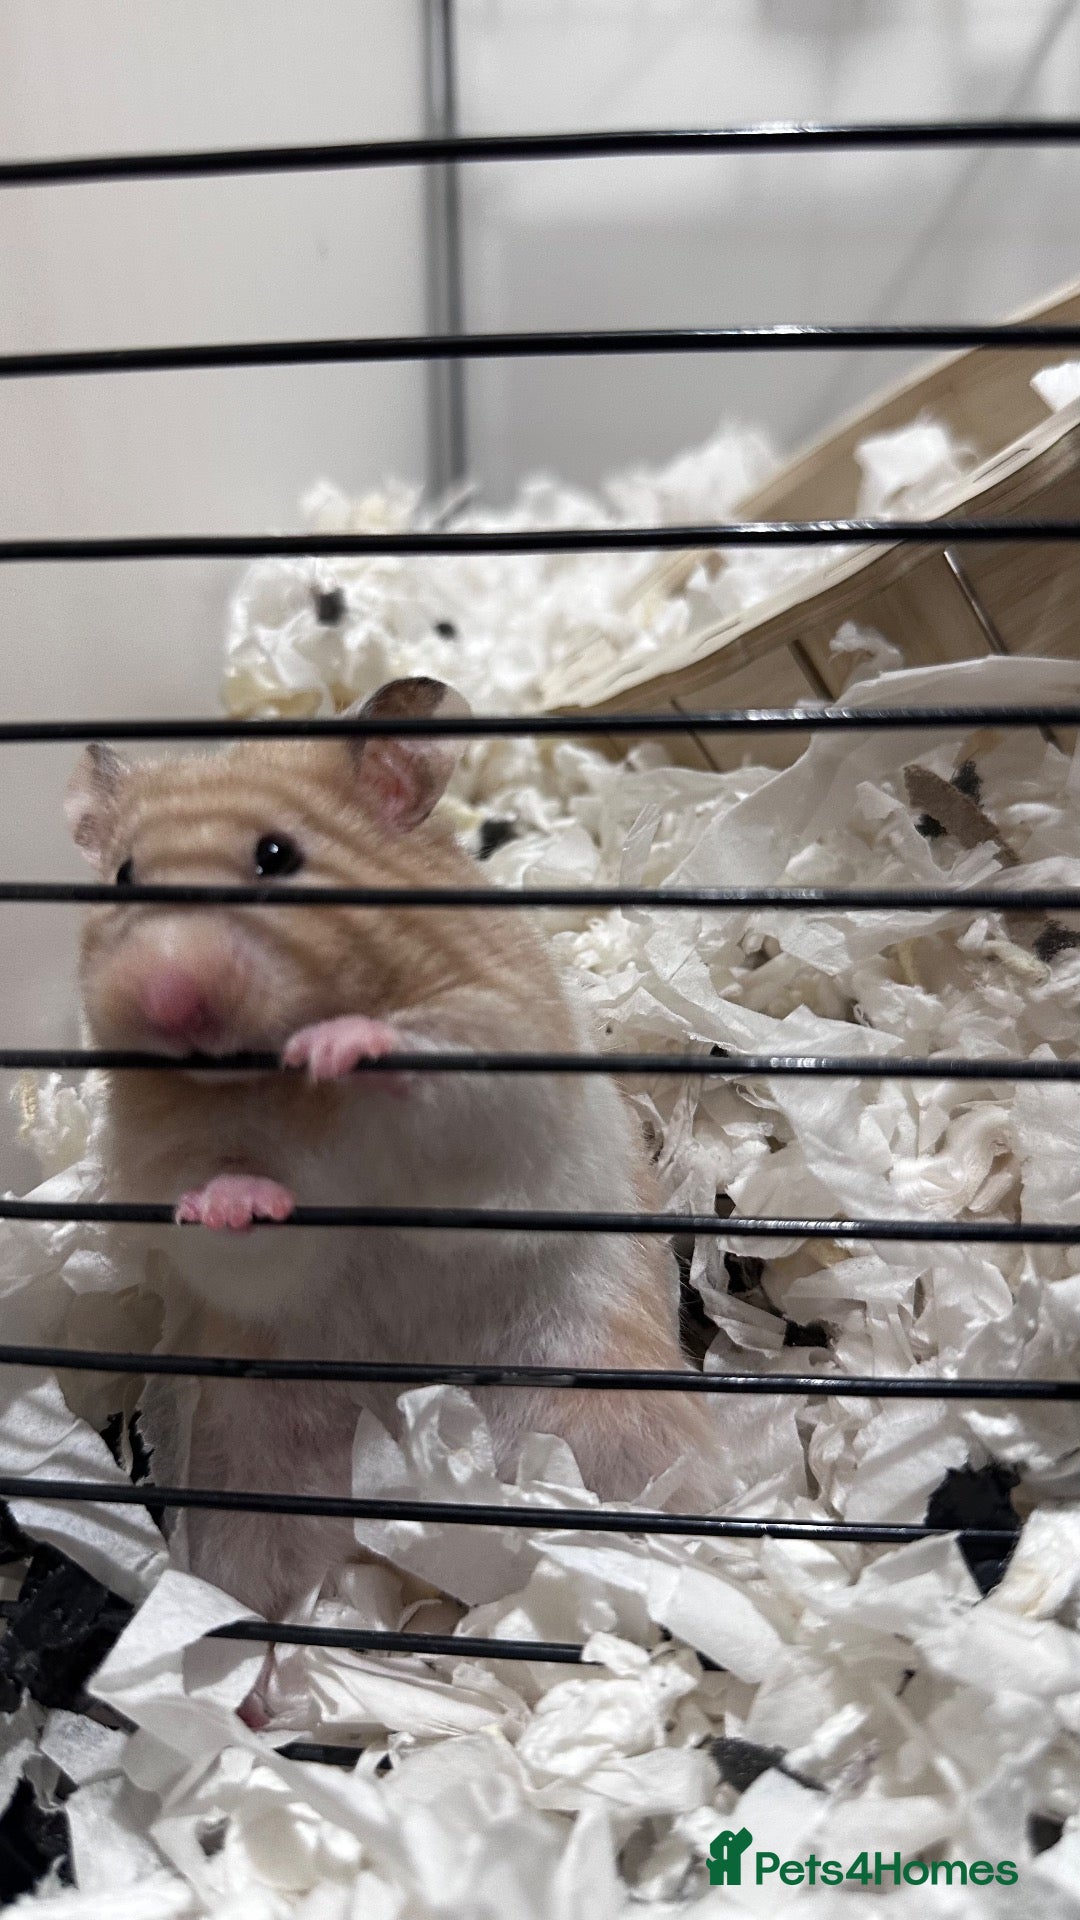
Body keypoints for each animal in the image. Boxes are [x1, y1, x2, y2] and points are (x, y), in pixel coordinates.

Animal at [66, 676, 720, 1620]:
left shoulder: (499, 1051)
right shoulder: (171, 1160)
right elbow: (239, 1223)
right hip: (254, 1461)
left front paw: (341, 1043)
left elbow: (429, 1074)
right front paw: (234, 1198)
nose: (169, 999)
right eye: (122, 877)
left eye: (275, 856)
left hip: (601, 1401)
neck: (280, 1094)